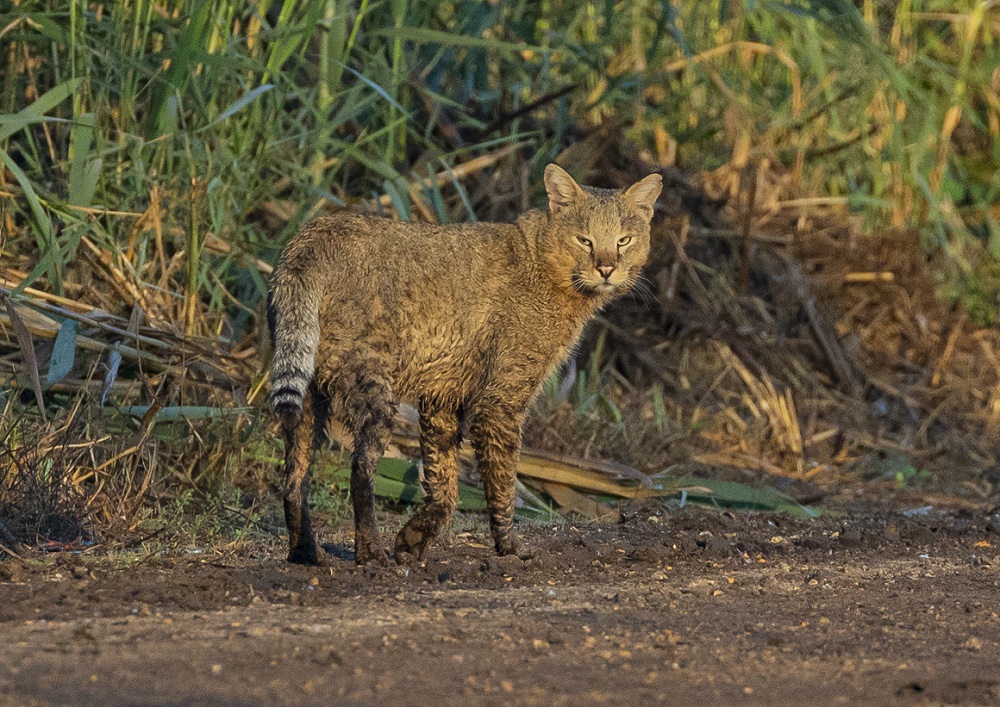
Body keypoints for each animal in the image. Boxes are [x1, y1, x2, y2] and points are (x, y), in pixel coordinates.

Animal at [268, 163, 664, 568]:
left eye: (624, 240)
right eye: (584, 240)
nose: (606, 268)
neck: (545, 267)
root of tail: (315, 234)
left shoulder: (443, 395)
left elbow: (445, 483)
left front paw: (413, 538)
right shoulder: (501, 398)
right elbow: (502, 480)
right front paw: (509, 547)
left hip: (308, 395)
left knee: (294, 476)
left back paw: (305, 552)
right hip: (373, 388)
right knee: (360, 466)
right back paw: (371, 553)